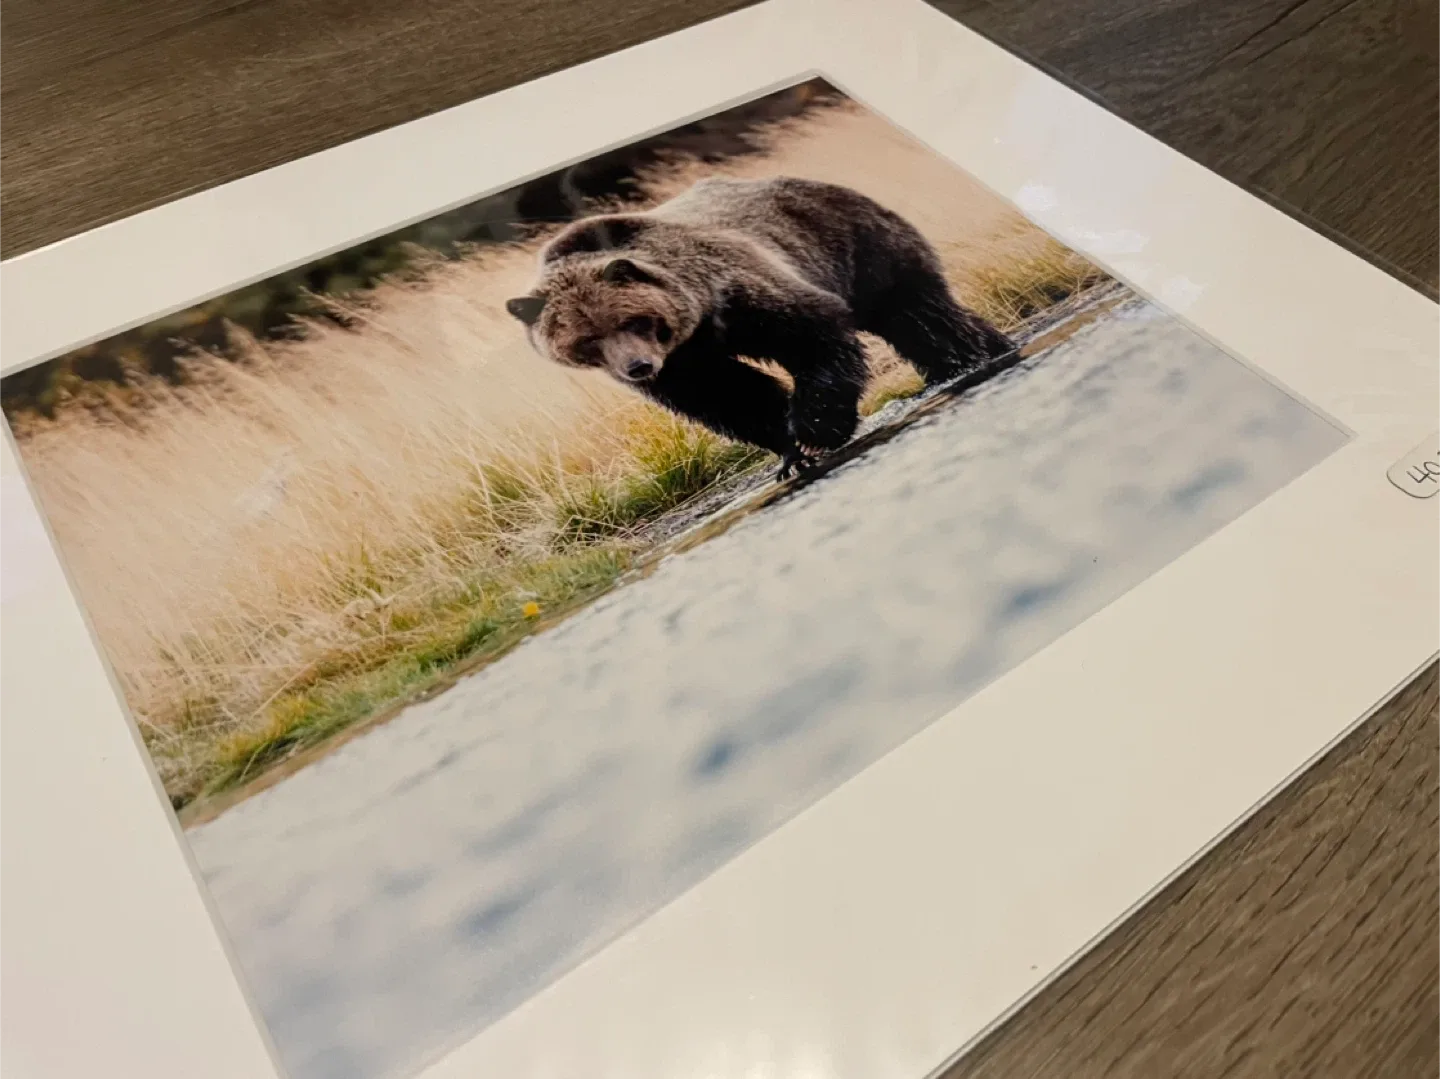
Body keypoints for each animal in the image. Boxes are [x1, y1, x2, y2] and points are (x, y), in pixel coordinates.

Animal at [506, 176, 1015, 477]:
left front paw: (814, 429)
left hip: (858, 246)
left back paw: (963, 360)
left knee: (915, 312)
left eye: (632, 319)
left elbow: (812, 334)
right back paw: (992, 345)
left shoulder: (739, 293)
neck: (697, 323)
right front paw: (788, 451)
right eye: (587, 340)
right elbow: (731, 396)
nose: (637, 367)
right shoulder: (686, 364)